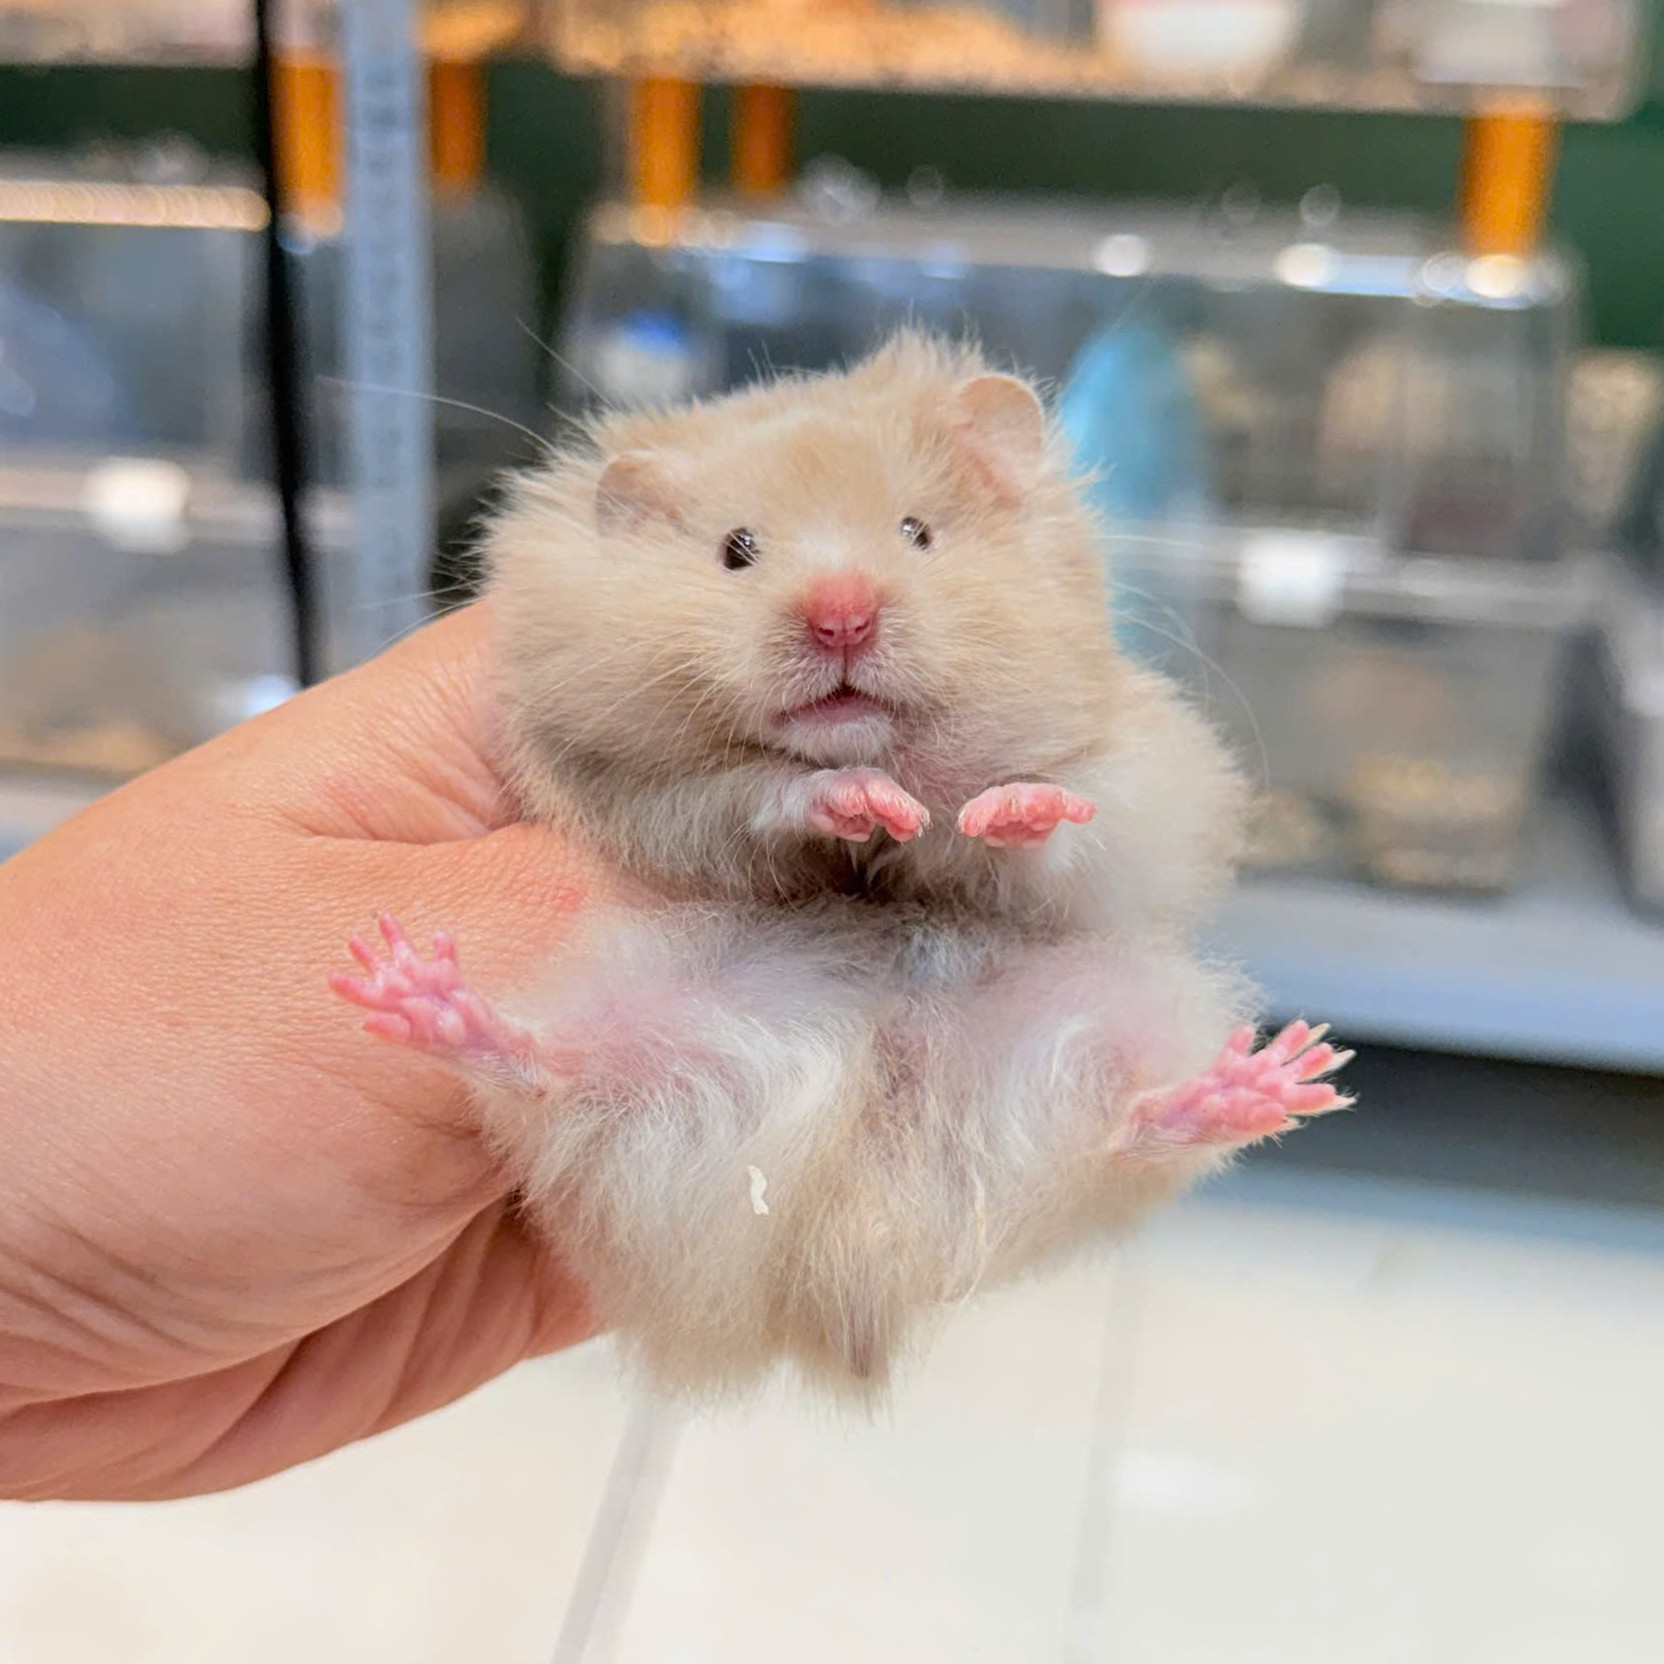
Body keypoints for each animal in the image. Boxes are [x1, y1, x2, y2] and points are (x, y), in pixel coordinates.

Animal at [332, 332, 1351, 1401]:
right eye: (736, 549)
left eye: (917, 532)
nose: (842, 618)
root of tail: (857, 1233)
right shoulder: (640, 794)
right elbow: (762, 792)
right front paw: (862, 799)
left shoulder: (1146, 778)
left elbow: (1062, 822)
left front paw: (999, 807)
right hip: (633, 1027)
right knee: (551, 1078)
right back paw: (419, 995)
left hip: (1119, 1013)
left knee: (1126, 1132)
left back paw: (1272, 1080)